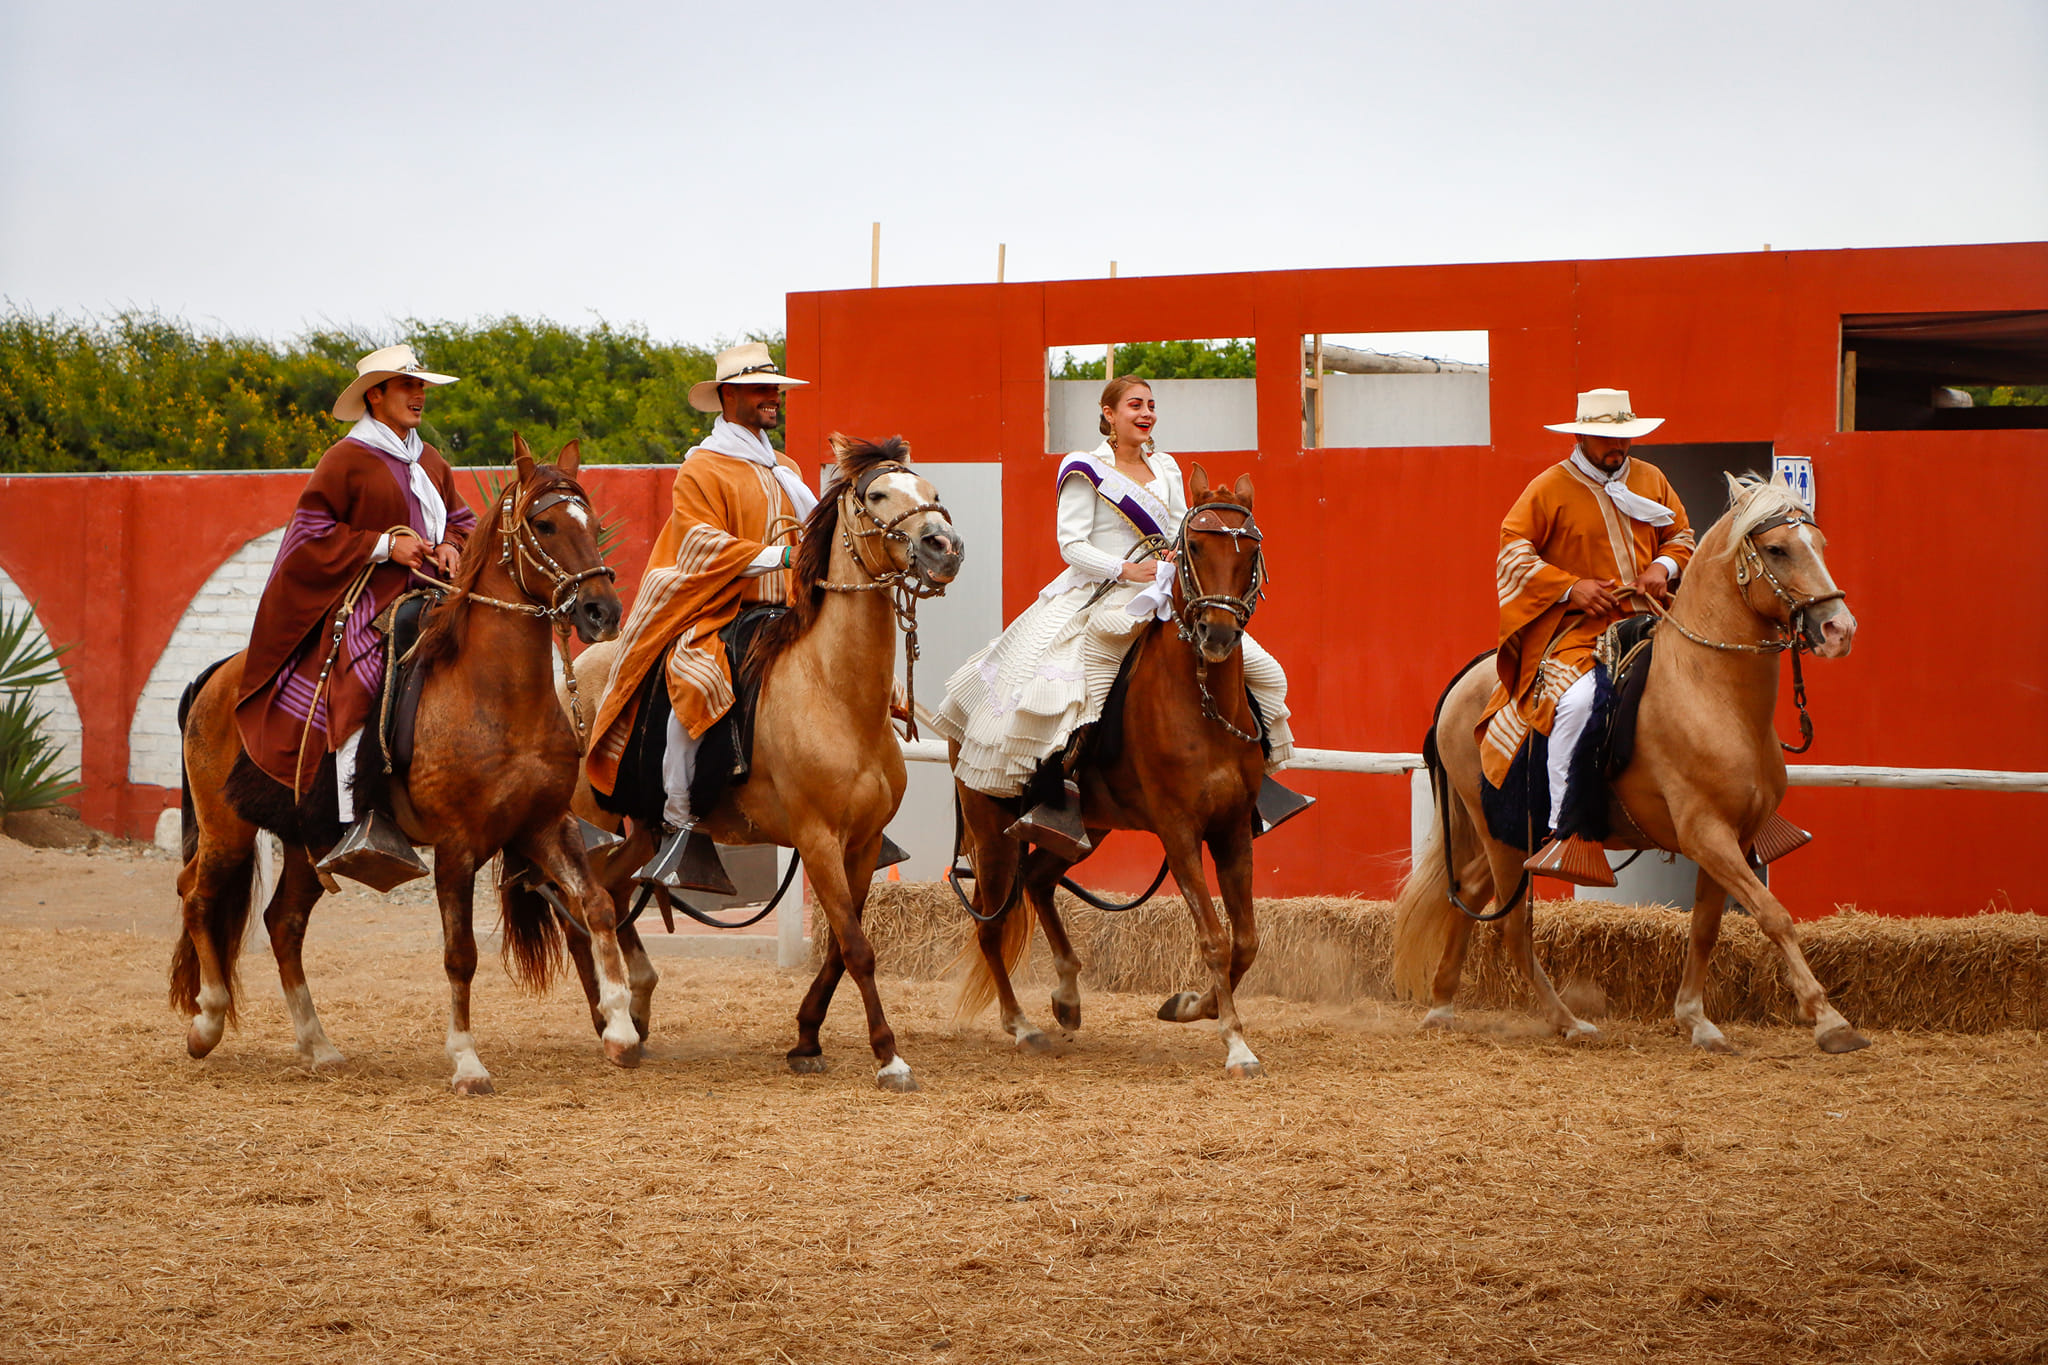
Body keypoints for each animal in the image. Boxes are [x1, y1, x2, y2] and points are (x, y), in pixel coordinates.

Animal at [173, 444, 634, 1096]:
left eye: (591, 524)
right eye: (544, 525)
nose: (601, 611)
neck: (495, 694)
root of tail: (217, 675)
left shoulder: (544, 826)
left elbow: (597, 906)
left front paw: (621, 1028)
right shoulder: (457, 846)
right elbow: (460, 953)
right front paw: (467, 1061)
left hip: (310, 841)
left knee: (282, 923)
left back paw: (318, 1046)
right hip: (226, 830)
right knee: (196, 897)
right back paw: (207, 1022)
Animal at [565, 431, 962, 1096]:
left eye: (932, 490)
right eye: (878, 494)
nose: (944, 547)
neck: (834, 692)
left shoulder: (862, 845)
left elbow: (841, 945)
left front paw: (805, 1038)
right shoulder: (818, 839)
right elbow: (857, 948)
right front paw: (889, 1057)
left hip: (640, 831)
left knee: (612, 895)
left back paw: (632, 1010)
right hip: (587, 820)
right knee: (578, 899)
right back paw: (611, 1021)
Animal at [950, 466, 1269, 1080]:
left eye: (1251, 551)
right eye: (1194, 547)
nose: (1217, 636)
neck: (1202, 704)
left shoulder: (1233, 829)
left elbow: (1244, 940)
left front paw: (1191, 1006)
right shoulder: (1179, 833)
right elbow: (1214, 938)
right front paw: (1237, 1045)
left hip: (1084, 829)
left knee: (1038, 881)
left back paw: (1067, 998)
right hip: (992, 836)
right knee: (991, 925)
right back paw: (1023, 1027)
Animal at [1392, 472, 1875, 1055]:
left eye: (1820, 543)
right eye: (1778, 549)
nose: (1839, 629)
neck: (1709, 691)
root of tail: (1463, 681)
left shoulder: (1734, 838)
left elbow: (1707, 928)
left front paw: (1696, 1019)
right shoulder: (1705, 833)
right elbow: (1773, 915)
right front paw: (1829, 1019)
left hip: (1505, 837)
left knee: (1468, 892)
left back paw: (1443, 1003)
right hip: (1499, 834)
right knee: (1509, 925)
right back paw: (1566, 1021)